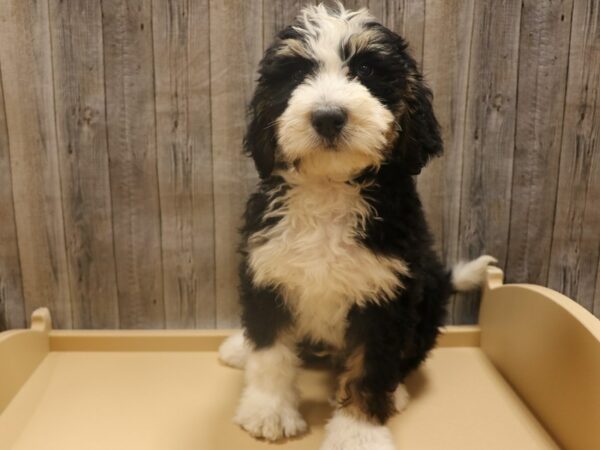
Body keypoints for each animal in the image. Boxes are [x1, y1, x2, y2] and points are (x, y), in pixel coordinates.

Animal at [218, 4, 494, 450]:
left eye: (366, 69)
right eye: (297, 74)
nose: (328, 117)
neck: (330, 188)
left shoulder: (386, 294)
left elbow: (370, 367)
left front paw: (358, 433)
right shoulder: (266, 272)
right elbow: (270, 351)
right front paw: (269, 410)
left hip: (426, 298)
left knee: (408, 355)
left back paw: (396, 394)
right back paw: (239, 348)